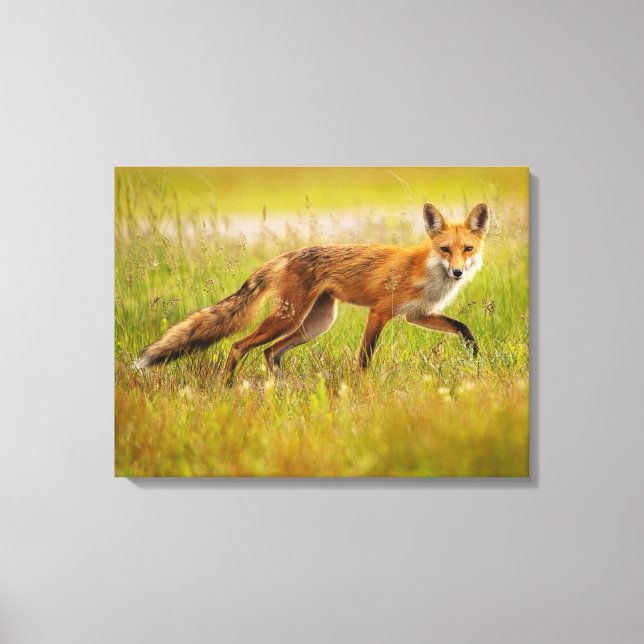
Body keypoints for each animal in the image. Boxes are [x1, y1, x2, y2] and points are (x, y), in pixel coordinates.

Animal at [135, 202, 490, 386]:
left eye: (467, 249)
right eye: (445, 249)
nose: (457, 272)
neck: (427, 271)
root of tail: (287, 255)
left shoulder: (418, 315)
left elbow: (462, 327)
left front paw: (475, 355)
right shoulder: (380, 312)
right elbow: (365, 358)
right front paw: (361, 389)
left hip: (314, 324)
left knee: (271, 352)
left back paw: (280, 389)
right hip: (288, 319)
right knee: (239, 346)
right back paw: (228, 386)